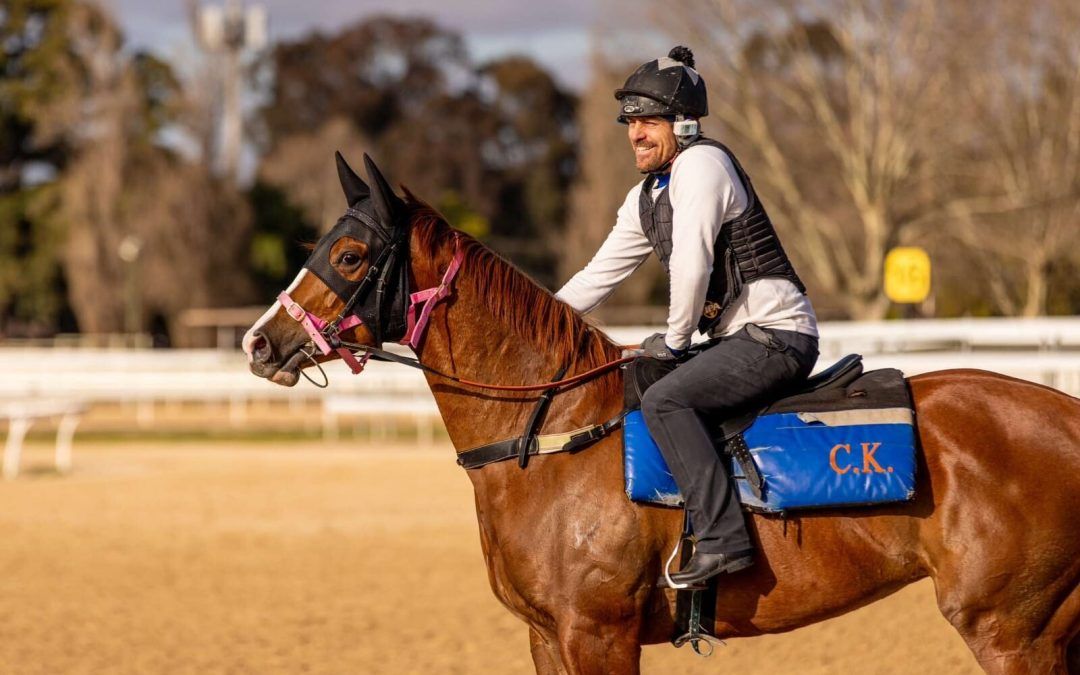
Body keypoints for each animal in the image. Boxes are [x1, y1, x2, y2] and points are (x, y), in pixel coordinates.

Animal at [245, 154, 1080, 673]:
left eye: (350, 255)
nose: (261, 340)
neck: (556, 436)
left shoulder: (598, 635)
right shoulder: (548, 638)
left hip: (1013, 630)